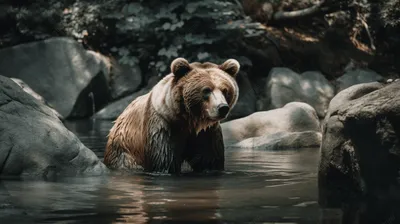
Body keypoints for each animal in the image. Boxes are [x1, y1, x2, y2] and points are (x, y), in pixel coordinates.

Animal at [104, 57, 239, 173]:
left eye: (225, 90)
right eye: (206, 90)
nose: (222, 107)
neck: (189, 120)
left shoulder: (206, 132)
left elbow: (209, 159)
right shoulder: (162, 126)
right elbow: (164, 160)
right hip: (124, 147)